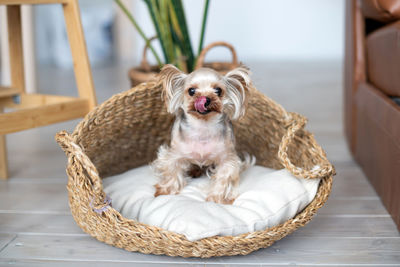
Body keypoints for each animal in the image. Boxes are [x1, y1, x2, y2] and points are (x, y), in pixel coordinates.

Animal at [152, 65, 255, 205]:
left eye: (218, 90)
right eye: (191, 91)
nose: (205, 99)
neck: (203, 127)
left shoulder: (227, 159)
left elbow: (223, 177)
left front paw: (217, 198)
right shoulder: (174, 154)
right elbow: (172, 171)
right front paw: (166, 190)